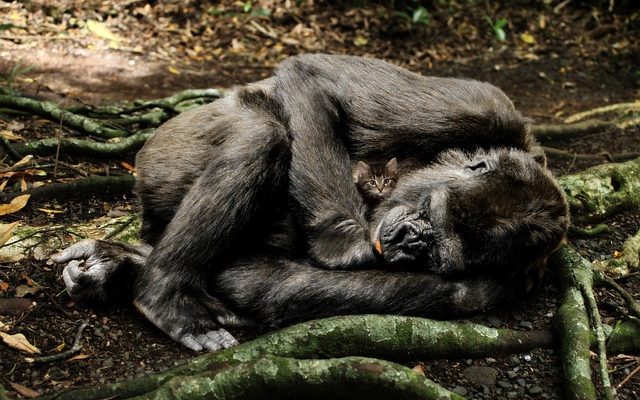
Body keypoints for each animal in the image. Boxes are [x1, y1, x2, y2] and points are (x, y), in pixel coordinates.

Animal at [52, 54, 568, 352]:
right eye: (428, 214)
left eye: (438, 252)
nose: (410, 243)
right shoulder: (482, 105)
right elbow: (314, 80)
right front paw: (344, 241)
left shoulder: (507, 282)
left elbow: (274, 284)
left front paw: (122, 266)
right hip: (163, 155)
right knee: (262, 133)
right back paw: (163, 294)